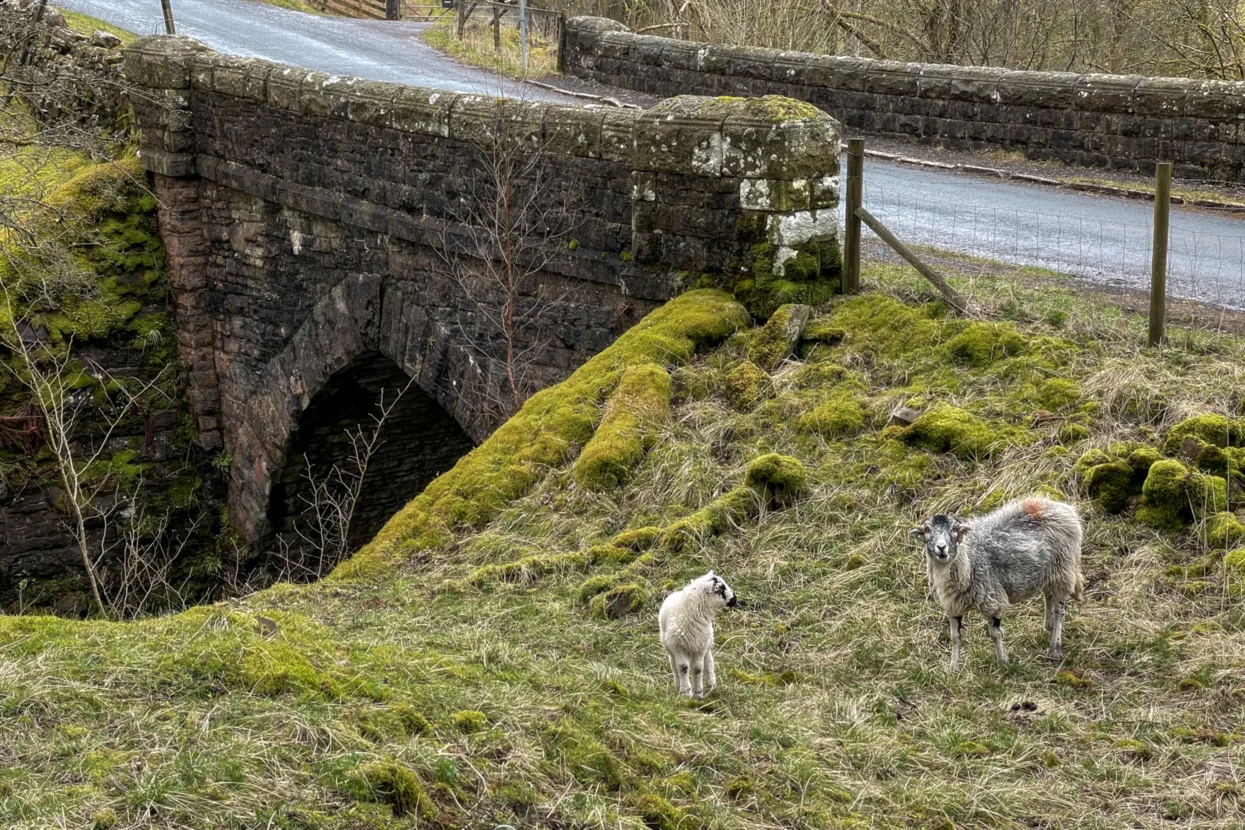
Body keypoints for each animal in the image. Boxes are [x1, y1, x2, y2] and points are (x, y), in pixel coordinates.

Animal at [657, 567, 732, 696]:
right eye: (720, 589)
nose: (734, 599)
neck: (692, 611)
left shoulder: (700, 646)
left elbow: (697, 669)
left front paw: (698, 693)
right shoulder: (678, 646)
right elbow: (683, 668)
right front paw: (685, 692)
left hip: (707, 642)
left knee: (708, 661)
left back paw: (711, 684)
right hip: (670, 647)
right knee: (674, 664)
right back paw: (678, 685)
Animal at [911, 500, 1085, 666]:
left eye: (954, 529)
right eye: (927, 530)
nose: (941, 548)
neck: (968, 560)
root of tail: (1064, 507)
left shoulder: (992, 601)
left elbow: (995, 634)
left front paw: (1003, 662)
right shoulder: (953, 606)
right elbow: (955, 638)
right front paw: (953, 668)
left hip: (1063, 570)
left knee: (1060, 611)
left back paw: (1054, 648)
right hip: (1047, 572)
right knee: (1048, 596)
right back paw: (1048, 627)